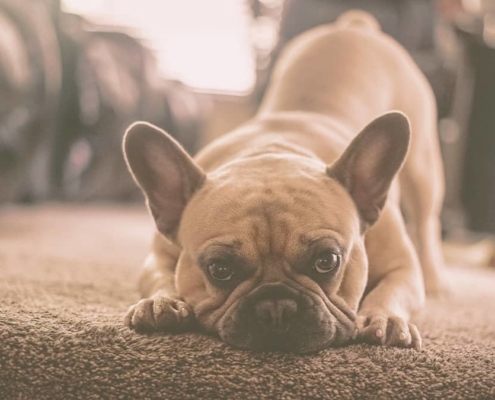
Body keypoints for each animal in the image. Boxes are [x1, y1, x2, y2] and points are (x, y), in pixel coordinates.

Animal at [122, 10, 448, 354]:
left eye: (327, 261)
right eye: (219, 270)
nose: (275, 306)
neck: (274, 150)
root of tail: (355, 25)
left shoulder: (402, 267)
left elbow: (392, 290)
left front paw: (385, 318)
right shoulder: (159, 255)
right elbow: (159, 276)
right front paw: (160, 302)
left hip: (424, 170)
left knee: (427, 223)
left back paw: (437, 281)